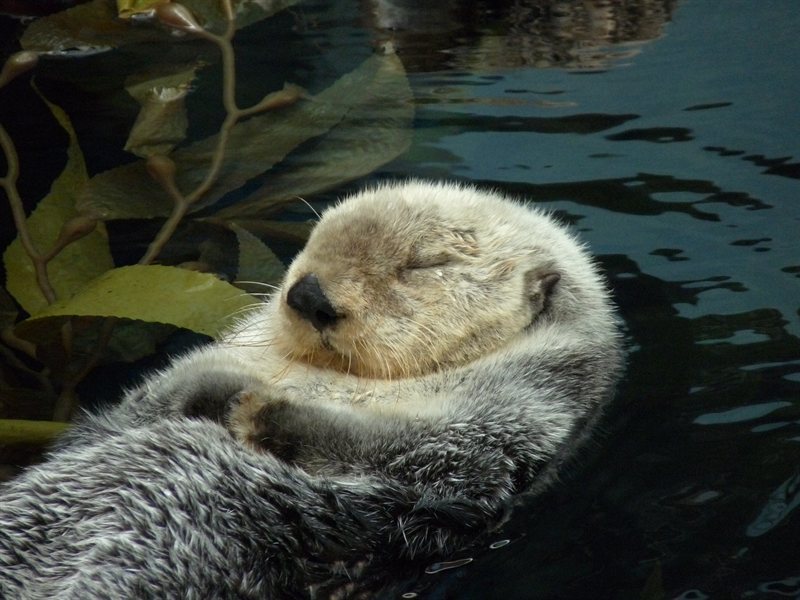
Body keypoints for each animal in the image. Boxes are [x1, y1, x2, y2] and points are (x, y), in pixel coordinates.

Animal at [0, 181, 623, 598]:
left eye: (424, 264)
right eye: (313, 238)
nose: (309, 295)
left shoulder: (511, 416)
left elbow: (409, 453)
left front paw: (255, 407)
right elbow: (142, 405)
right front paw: (212, 386)